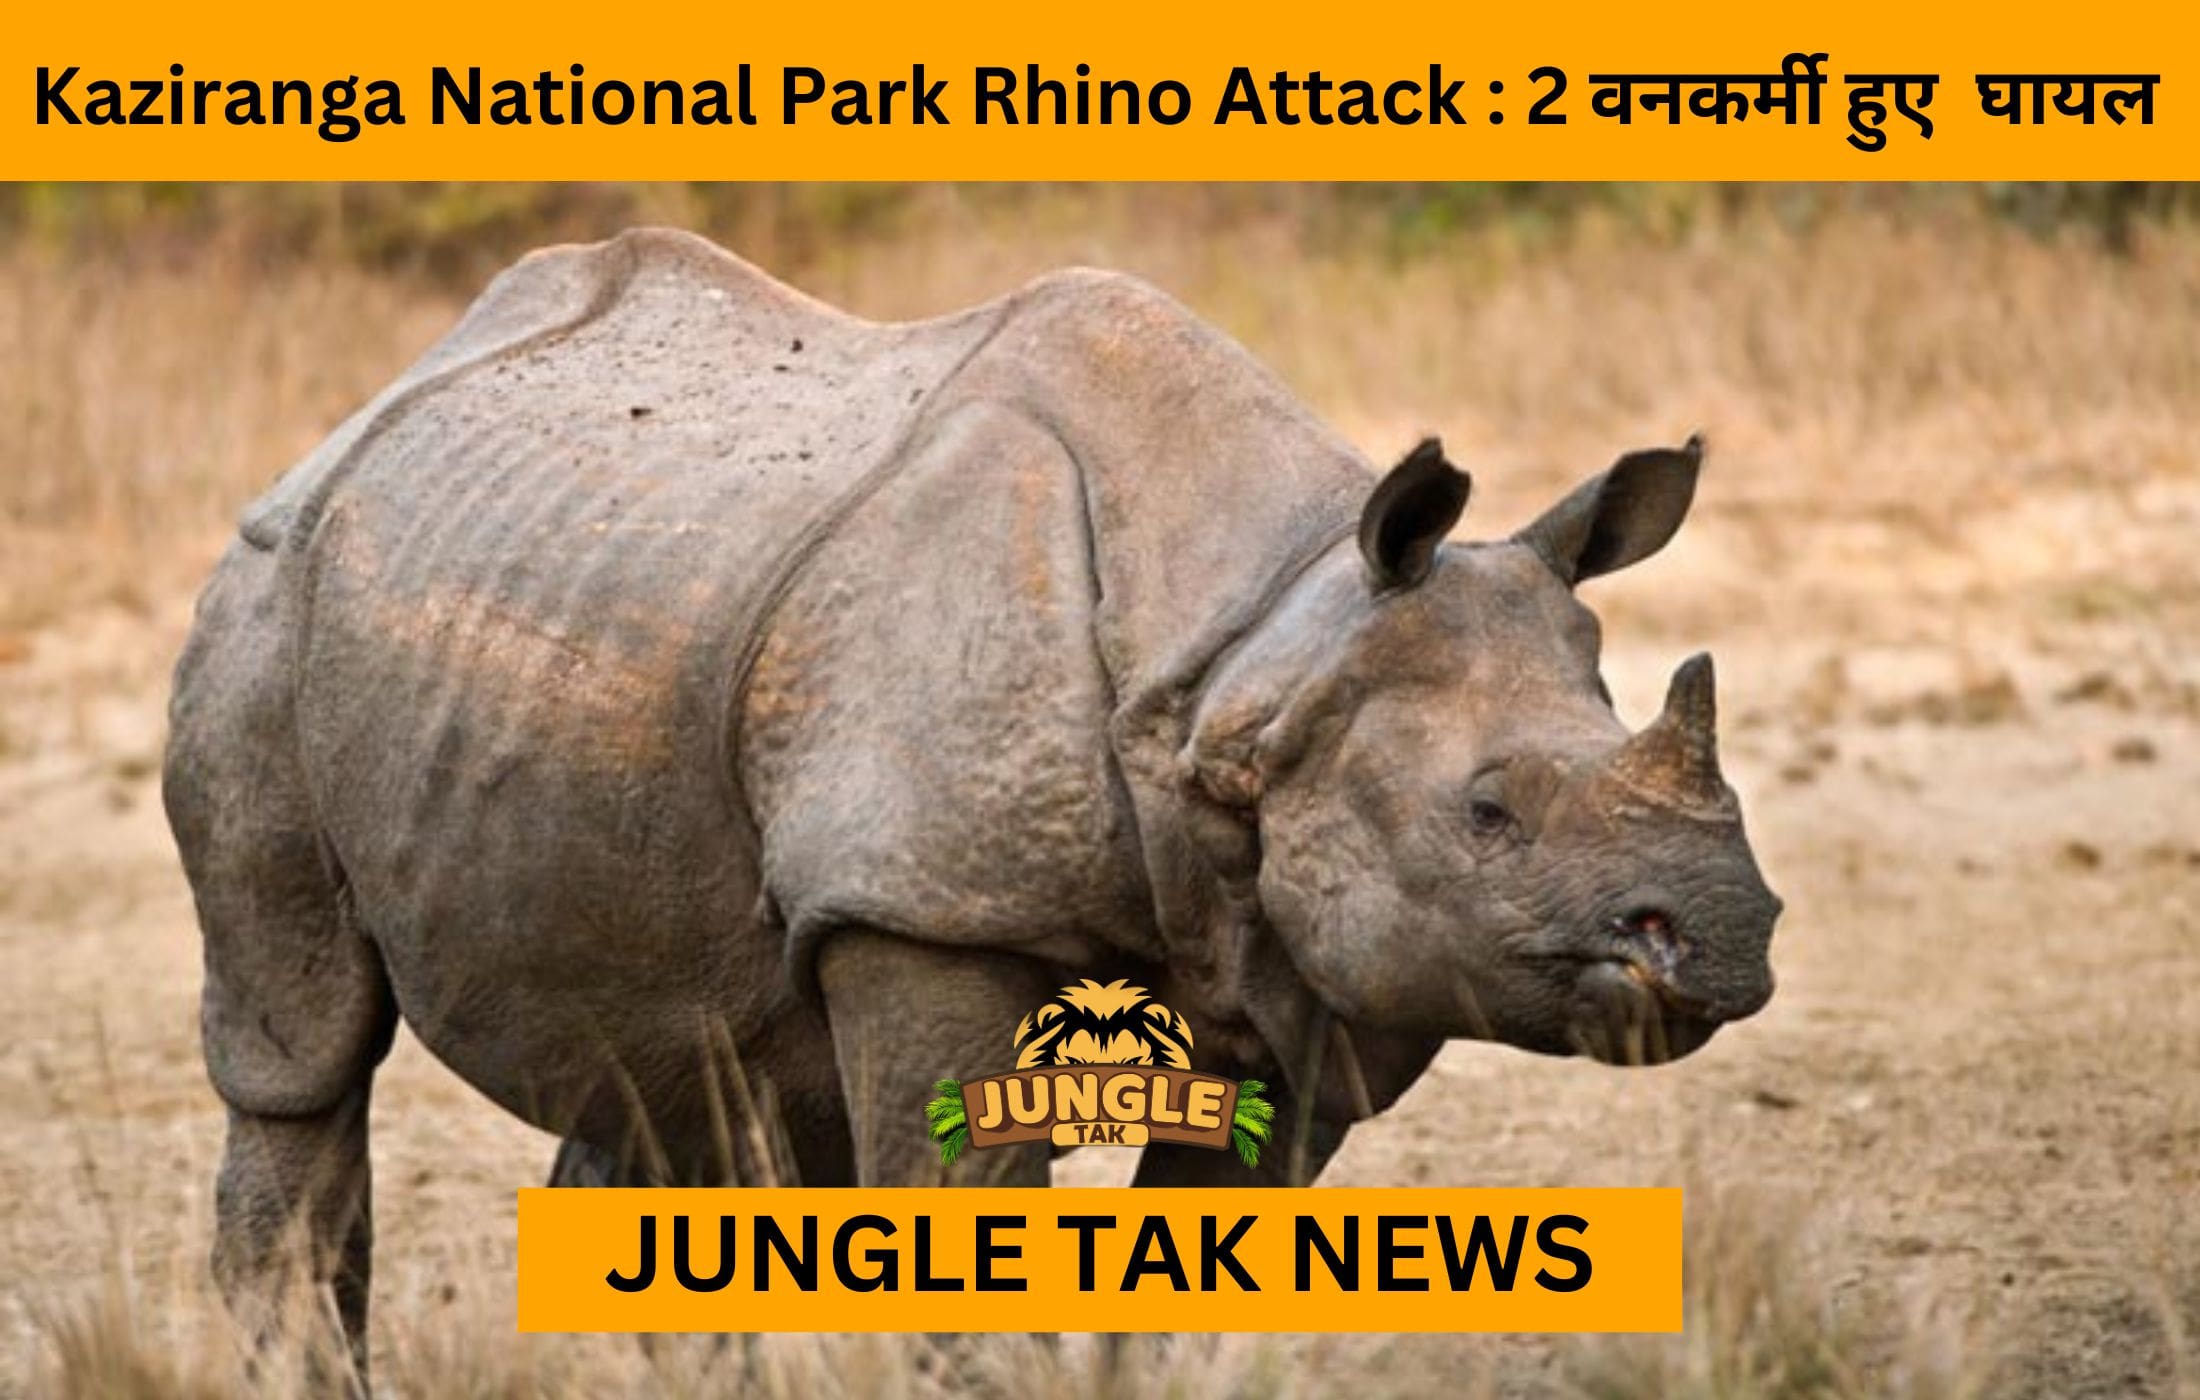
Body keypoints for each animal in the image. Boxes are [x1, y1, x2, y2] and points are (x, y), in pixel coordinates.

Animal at [164, 228, 1780, 1365]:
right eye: (1487, 814)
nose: (1728, 937)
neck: (1264, 637)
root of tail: (369, 410)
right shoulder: (928, 902)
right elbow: (958, 1227)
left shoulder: (1302, 964)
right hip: (264, 598)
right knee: (302, 1041)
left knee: (684, 1066)